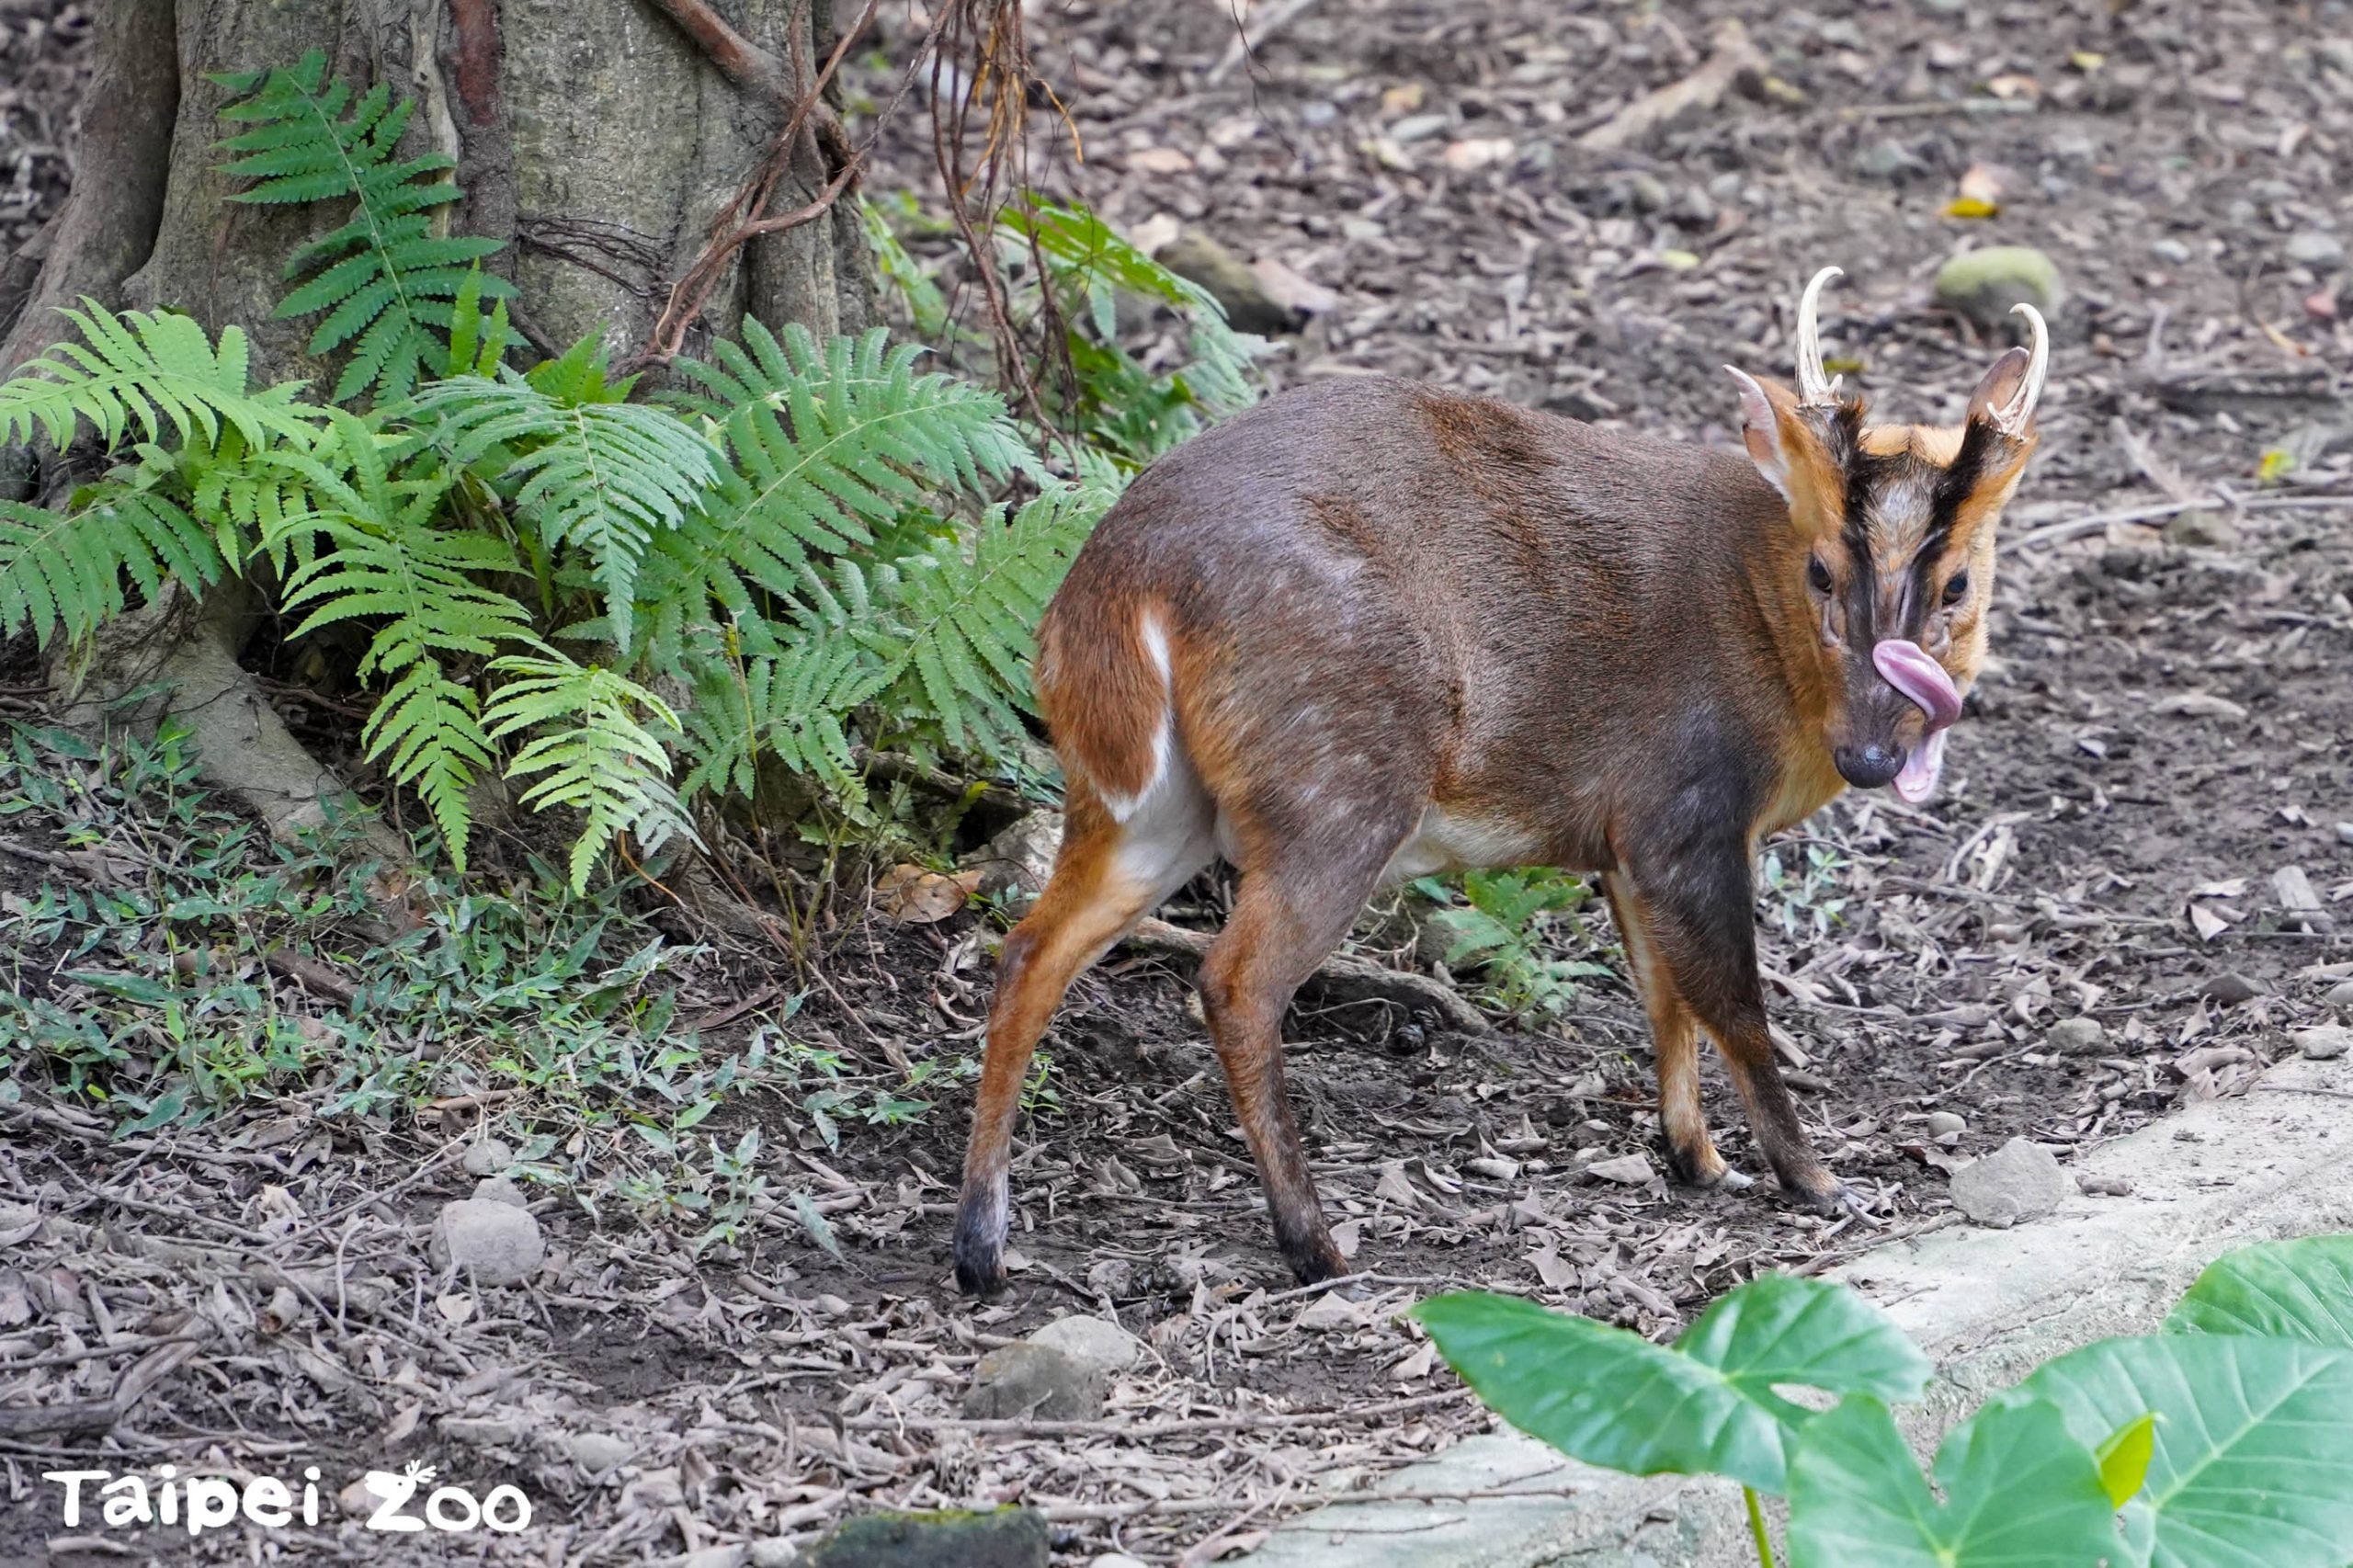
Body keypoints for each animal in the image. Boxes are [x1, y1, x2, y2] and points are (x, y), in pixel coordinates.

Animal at [946, 268, 2052, 1290]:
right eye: (1822, 570)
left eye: (1958, 584)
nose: (1872, 756)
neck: (1769, 644)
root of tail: (1119, 584)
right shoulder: (1684, 808)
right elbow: (1730, 999)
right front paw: (1814, 1178)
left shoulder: (1621, 841)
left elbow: (1664, 999)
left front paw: (1695, 1159)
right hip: (1337, 786)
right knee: (1233, 981)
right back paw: (1315, 1243)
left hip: (1144, 801)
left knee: (1031, 947)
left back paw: (980, 1246)